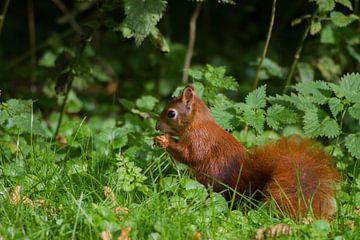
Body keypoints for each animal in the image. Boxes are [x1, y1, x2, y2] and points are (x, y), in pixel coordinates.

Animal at [155, 85, 340, 218]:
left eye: (171, 114)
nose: (156, 126)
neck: (198, 122)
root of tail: (245, 192)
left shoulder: (199, 139)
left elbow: (189, 155)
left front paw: (164, 141)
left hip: (207, 179)